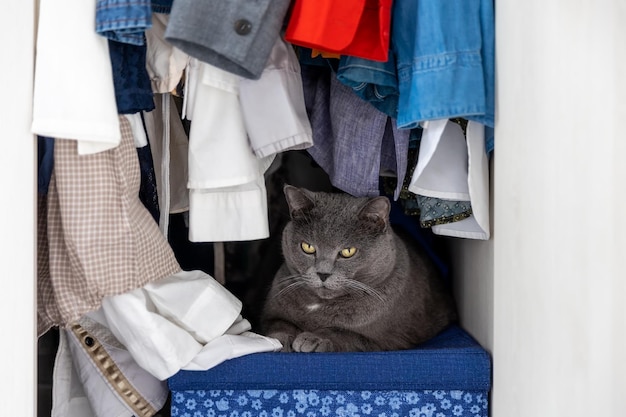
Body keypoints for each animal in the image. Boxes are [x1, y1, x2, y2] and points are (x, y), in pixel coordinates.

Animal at [260, 185, 458, 352]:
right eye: (307, 247)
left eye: (348, 251)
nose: (323, 273)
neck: (319, 305)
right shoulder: (270, 314)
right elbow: (278, 324)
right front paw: (279, 340)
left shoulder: (390, 341)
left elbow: (345, 333)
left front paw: (314, 339)